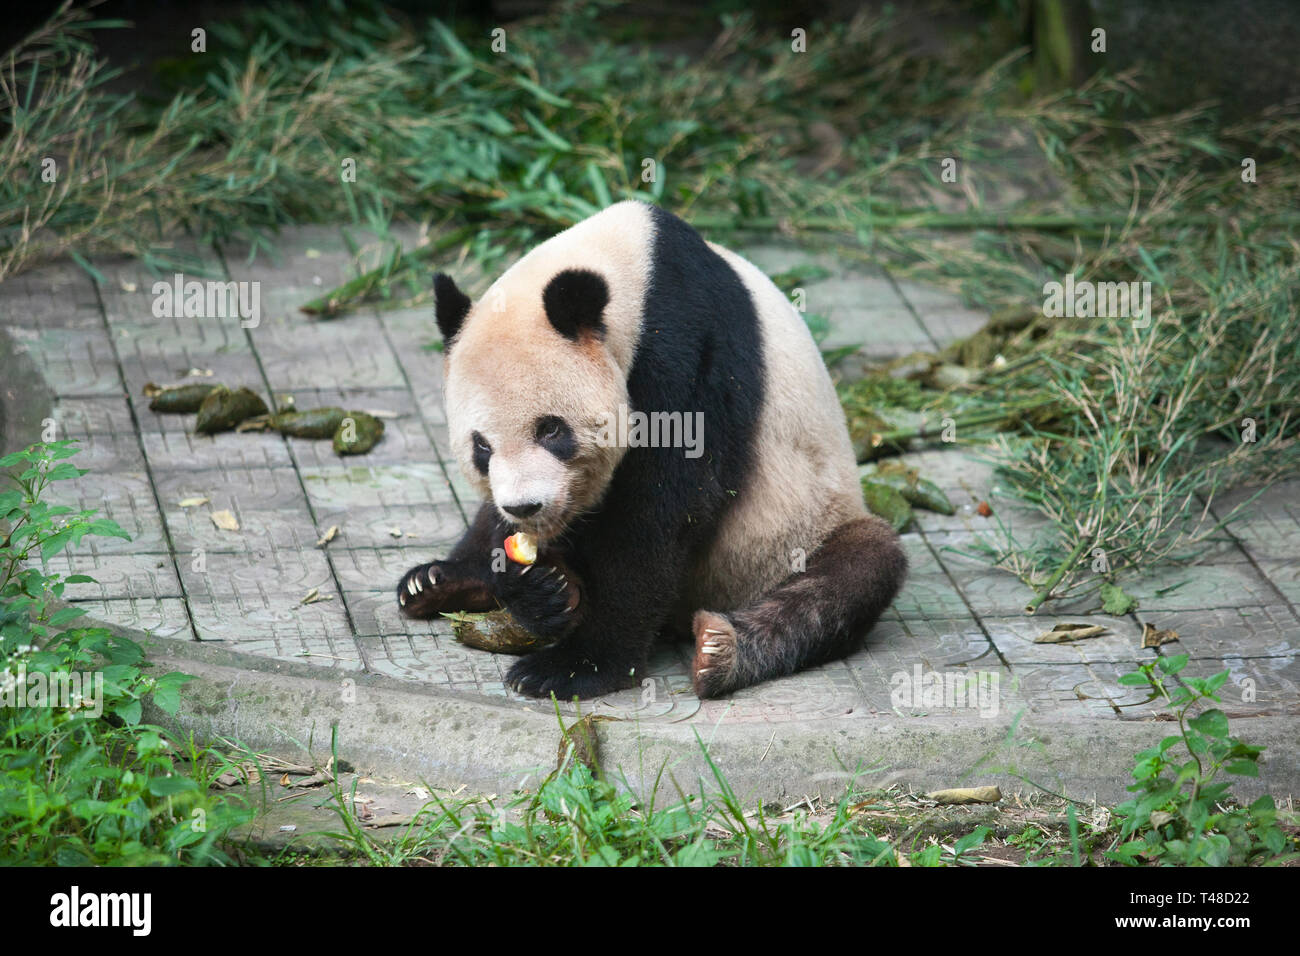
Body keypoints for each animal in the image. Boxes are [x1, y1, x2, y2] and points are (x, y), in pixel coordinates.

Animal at [395, 201, 904, 697]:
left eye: (551, 430)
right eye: (481, 447)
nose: (525, 506)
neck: (632, 268)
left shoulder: (688, 351)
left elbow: (661, 512)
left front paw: (578, 666)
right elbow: (507, 531)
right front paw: (541, 590)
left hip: (795, 532)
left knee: (854, 572)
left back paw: (721, 650)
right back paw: (437, 582)